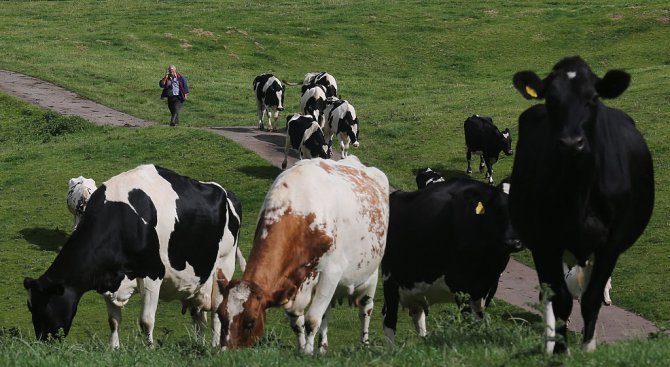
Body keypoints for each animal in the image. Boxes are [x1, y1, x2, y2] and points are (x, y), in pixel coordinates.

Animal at [25, 165, 249, 350]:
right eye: (30, 307)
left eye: (45, 306)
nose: (42, 342)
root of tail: (227, 193)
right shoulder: (107, 281)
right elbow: (114, 320)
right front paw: (114, 349)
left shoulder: (153, 274)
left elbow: (146, 320)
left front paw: (149, 349)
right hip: (197, 281)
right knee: (198, 316)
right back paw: (198, 344)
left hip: (223, 266)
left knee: (218, 311)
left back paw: (215, 346)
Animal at [218, 157, 392, 356]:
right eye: (221, 315)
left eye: (250, 322)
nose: (225, 353)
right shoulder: (291, 284)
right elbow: (298, 323)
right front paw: (303, 349)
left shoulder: (331, 272)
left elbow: (312, 319)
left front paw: (308, 353)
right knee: (327, 312)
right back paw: (322, 348)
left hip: (370, 275)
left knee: (365, 309)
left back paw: (364, 344)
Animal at [384, 178, 524, 348]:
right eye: (498, 208)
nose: (513, 242)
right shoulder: (461, 287)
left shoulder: (489, 287)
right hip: (390, 280)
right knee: (389, 323)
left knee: (418, 316)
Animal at [512, 55, 652, 354]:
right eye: (551, 98)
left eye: (593, 98)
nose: (570, 142)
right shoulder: (544, 241)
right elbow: (560, 299)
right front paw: (560, 350)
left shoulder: (611, 243)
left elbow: (592, 297)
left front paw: (587, 349)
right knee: (549, 295)